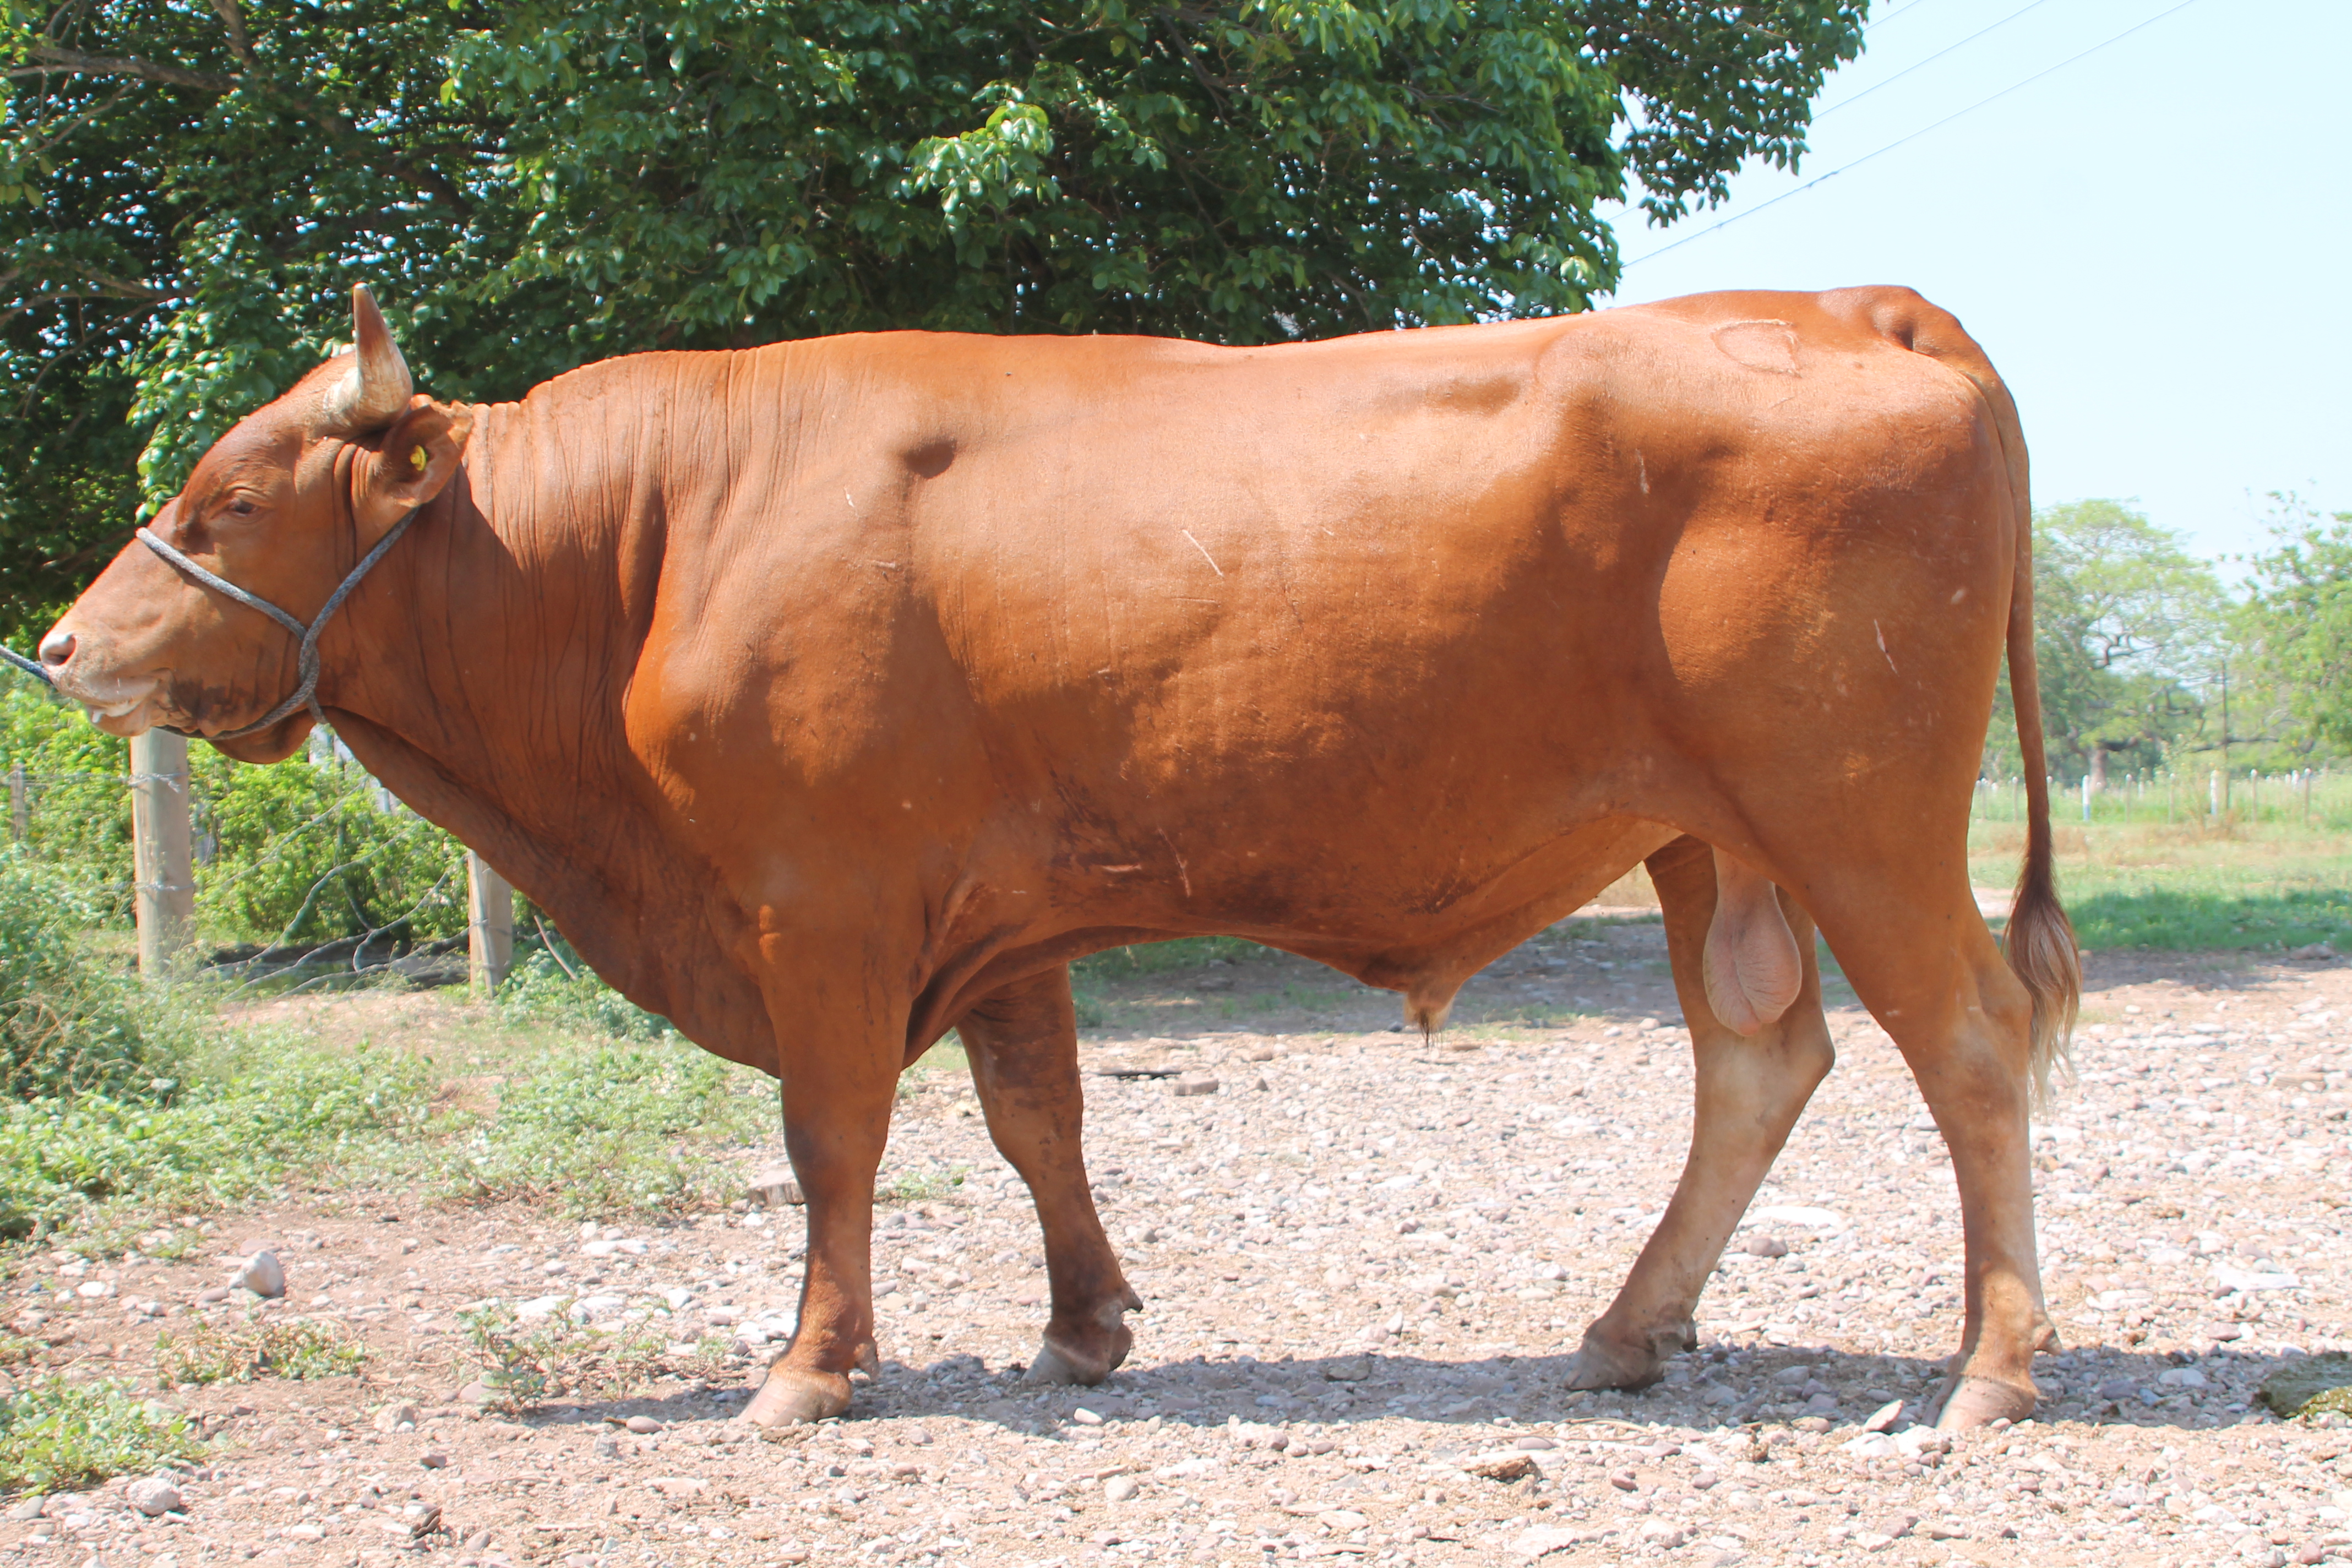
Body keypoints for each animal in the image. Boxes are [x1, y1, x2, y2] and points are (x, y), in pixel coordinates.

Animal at [41, 282, 2079, 1439]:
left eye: (232, 496)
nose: (60, 646)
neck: (661, 532)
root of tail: (1864, 302)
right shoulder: (993, 914)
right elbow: (1038, 1117)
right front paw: (1082, 1327)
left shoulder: (823, 899)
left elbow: (834, 1137)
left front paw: (808, 1366)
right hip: (1703, 840)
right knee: (1761, 1056)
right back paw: (1626, 1329)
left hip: (1853, 811)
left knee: (1969, 1041)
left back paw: (1985, 1371)